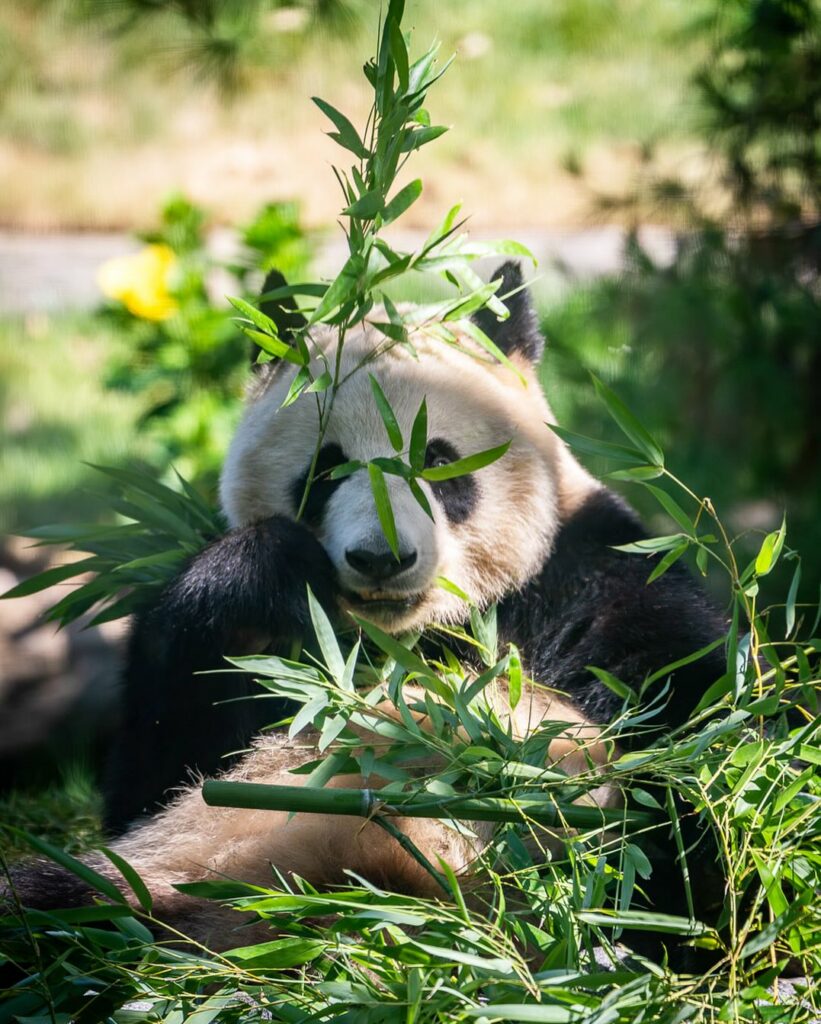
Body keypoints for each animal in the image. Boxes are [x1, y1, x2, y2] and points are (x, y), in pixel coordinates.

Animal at [7, 264, 724, 950]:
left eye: (438, 462)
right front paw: (268, 569)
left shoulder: (590, 576)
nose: (381, 558)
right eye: (326, 468)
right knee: (64, 900)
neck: (412, 635)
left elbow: (688, 726)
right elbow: (158, 771)